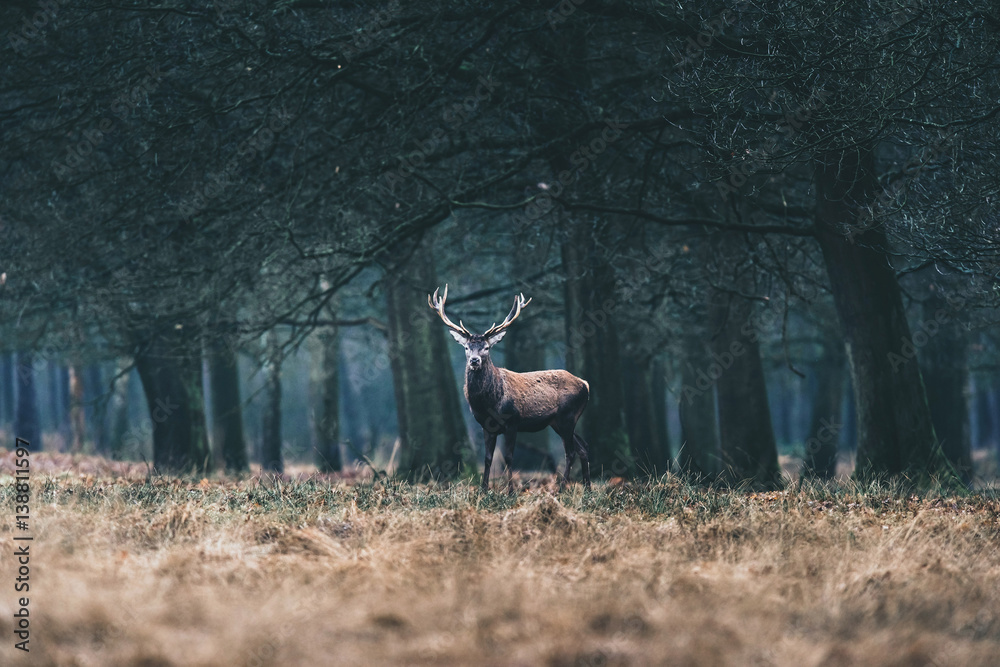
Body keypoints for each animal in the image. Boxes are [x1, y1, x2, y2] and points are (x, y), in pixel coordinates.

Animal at [428, 285, 591, 491]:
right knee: (583, 447)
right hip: (558, 422)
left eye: (487, 347)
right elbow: (488, 458)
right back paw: (588, 489)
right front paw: (483, 490)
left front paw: (511, 491)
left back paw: (562, 489)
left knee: (570, 452)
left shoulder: (512, 421)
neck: (490, 402)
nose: (474, 360)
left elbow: (508, 457)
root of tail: (585, 384)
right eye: (466, 347)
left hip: (567, 416)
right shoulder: (486, 425)